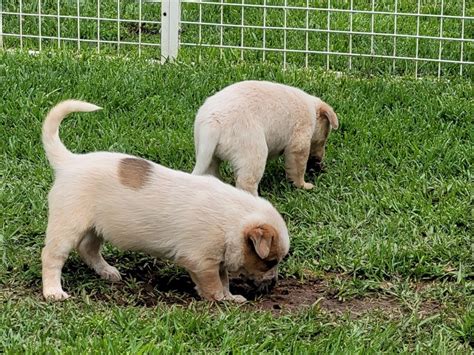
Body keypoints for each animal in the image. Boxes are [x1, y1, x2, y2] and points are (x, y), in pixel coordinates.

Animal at [40, 99, 288, 304]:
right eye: (270, 262)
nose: (273, 285)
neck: (232, 219)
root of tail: (70, 162)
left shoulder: (217, 259)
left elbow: (224, 278)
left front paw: (231, 296)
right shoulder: (202, 261)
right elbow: (214, 284)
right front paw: (222, 299)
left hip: (96, 227)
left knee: (88, 249)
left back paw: (107, 271)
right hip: (67, 225)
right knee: (52, 256)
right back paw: (53, 292)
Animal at [191, 80, 338, 196]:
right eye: (324, 139)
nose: (319, 161)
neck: (312, 110)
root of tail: (213, 123)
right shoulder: (300, 139)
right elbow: (298, 167)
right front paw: (303, 185)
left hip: (206, 150)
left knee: (212, 171)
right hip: (252, 148)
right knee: (247, 181)